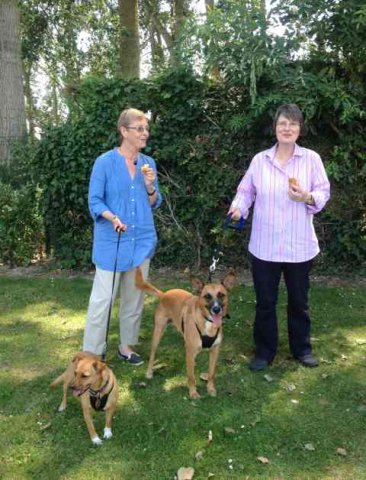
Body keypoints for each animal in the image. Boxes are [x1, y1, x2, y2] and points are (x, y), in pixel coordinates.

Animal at [136, 268, 236, 400]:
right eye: (207, 296)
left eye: (221, 295)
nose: (216, 309)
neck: (207, 321)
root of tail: (164, 294)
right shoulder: (190, 351)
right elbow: (191, 376)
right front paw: (193, 393)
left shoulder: (215, 350)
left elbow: (212, 373)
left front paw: (211, 389)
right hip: (158, 332)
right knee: (152, 353)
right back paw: (149, 372)